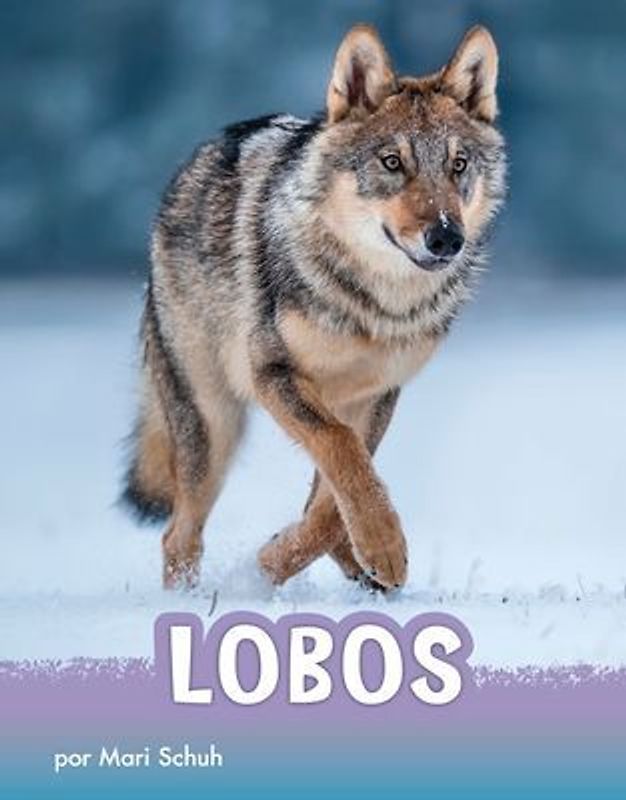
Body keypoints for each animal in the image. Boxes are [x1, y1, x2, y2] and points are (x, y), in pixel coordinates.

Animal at [122, 23, 506, 591]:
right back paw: (188, 599)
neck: (375, 304)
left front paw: (290, 557)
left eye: (458, 165)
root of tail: (192, 164)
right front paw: (372, 548)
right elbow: (342, 453)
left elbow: (335, 496)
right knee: (178, 535)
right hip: (213, 424)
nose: (446, 238)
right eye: (393, 162)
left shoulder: (376, 394)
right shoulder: (274, 375)